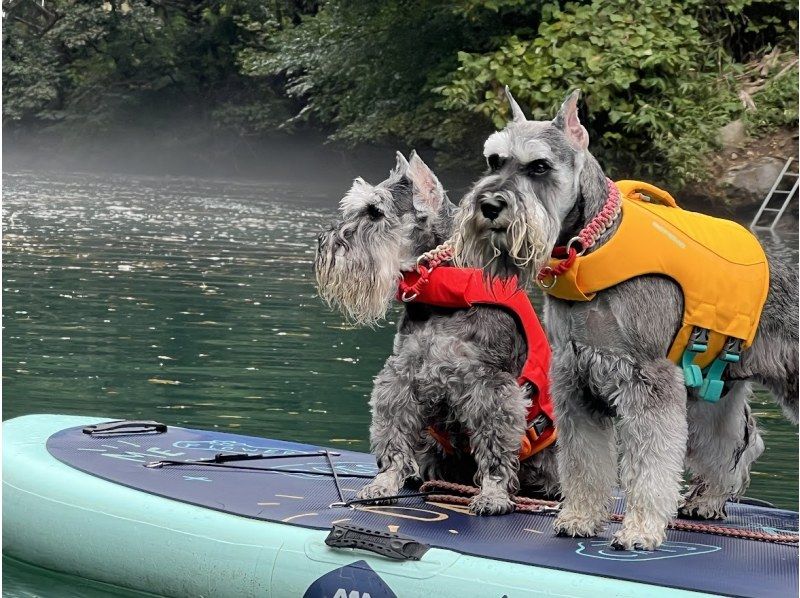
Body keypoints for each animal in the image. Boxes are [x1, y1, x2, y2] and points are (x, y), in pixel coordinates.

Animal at [312, 150, 556, 516]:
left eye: (375, 211)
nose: (324, 242)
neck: (440, 290)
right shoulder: (401, 378)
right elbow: (394, 436)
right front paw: (384, 483)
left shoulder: (491, 386)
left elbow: (495, 444)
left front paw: (493, 494)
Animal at [454, 86, 796, 552]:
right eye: (493, 160)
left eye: (539, 166)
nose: (489, 205)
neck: (588, 248)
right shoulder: (575, 381)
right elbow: (584, 462)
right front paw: (579, 517)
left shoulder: (649, 380)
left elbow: (651, 466)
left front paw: (639, 530)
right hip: (715, 394)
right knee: (736, 443)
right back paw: (707, 500)